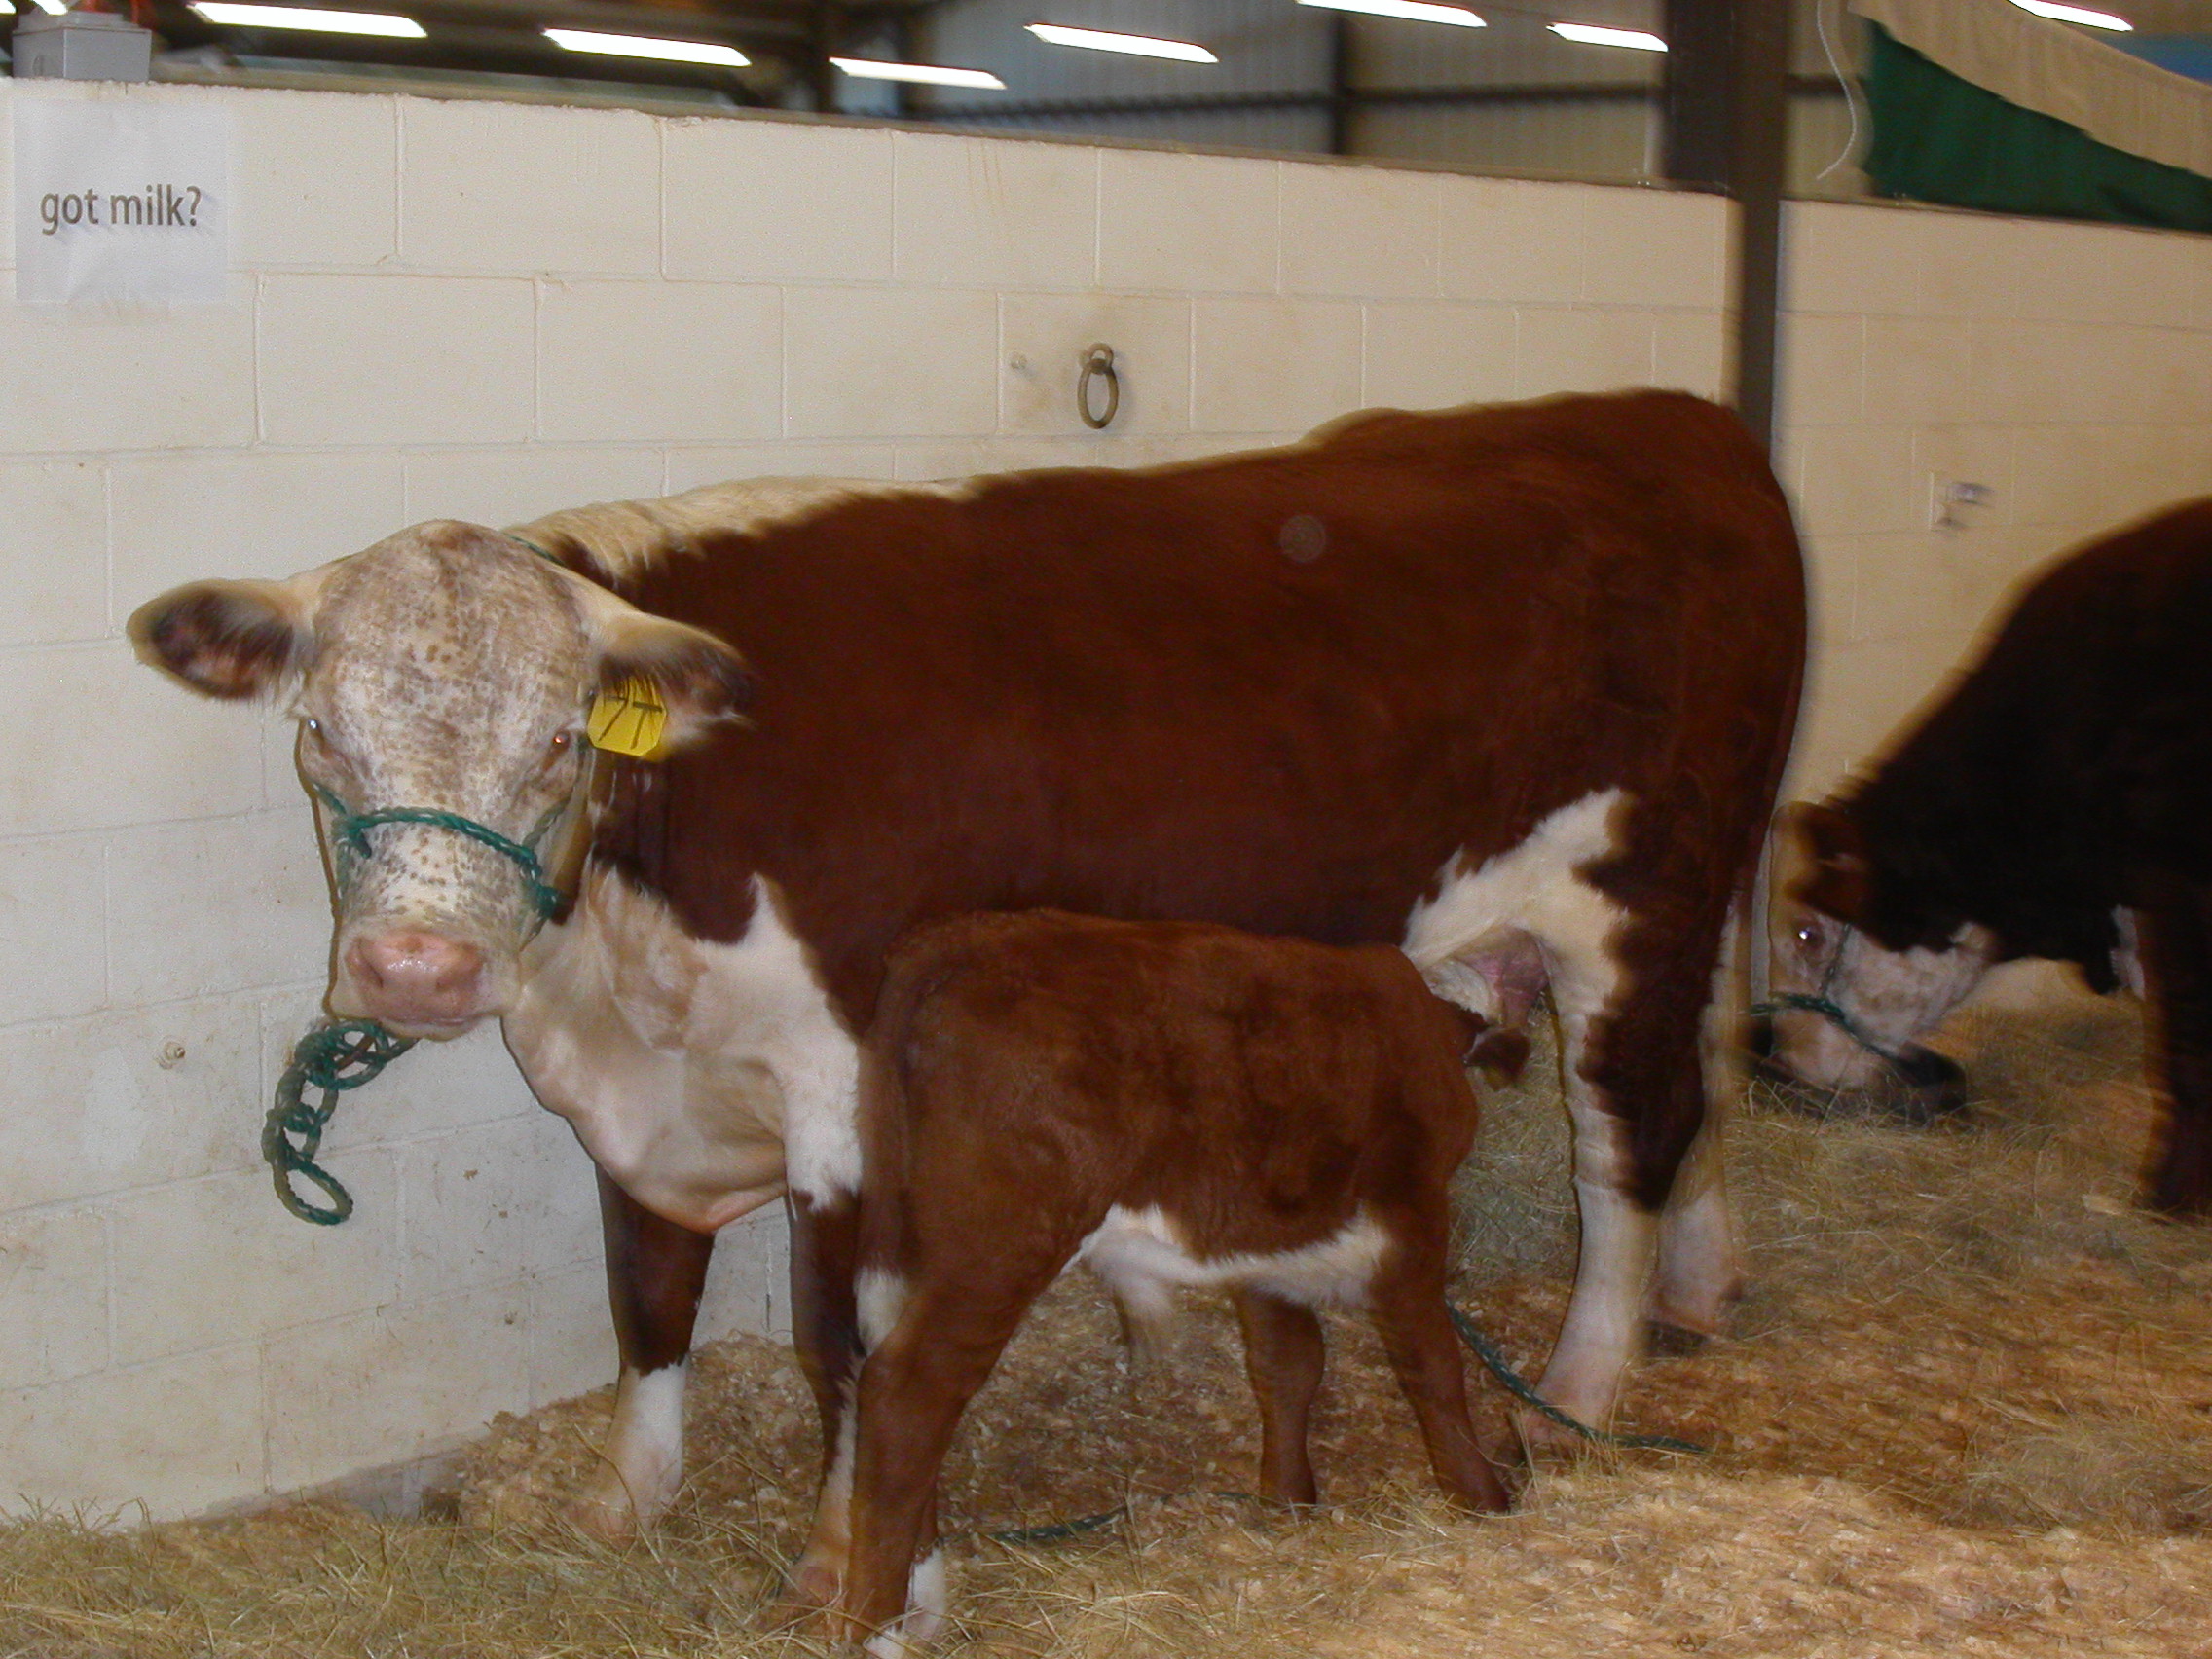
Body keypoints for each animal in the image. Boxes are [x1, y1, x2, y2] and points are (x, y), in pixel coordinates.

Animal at [125, 388, 1804, 1573]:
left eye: (553, 743)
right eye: (323, 736)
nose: (415, 966)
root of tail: (1674, 419)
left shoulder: (849, 1086)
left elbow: (841, 1338)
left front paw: (836, 1542)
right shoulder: (640, 1100)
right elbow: (647, 1299)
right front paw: (624, 1505)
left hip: (1636, 909)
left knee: (1630, 1135)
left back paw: (1588, 1380)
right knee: (1708, 1087)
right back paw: (1706, 1288)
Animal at [826, 910, 1514, 1649]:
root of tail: (958, 938)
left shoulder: (1265, 1252)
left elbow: (1288, 1366)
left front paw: (1288, 1502)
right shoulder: (1413, 1220)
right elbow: (1434, 1369)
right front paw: (1483, 1500)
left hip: (907, 1243)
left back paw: (916, 1603)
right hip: (998, 1249)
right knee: (908, 1393)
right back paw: (873, 1627)